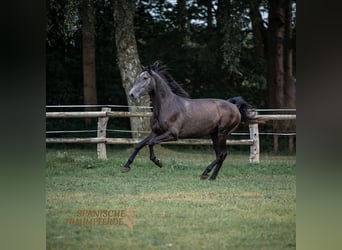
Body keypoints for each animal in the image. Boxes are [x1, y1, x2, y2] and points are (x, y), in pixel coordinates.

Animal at [121, 61, 254, 181]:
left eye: (145, 78)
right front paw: (126, 167)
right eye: (137, 78)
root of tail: (234, 106)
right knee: (221, 154)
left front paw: (158, 162)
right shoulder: (155, 132)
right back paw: (212, 177)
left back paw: (205, 173)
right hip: (214, 134)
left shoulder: (172, 134)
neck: (167, 106)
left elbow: (151, 143)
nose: (131, 94)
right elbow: (139, 145)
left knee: (222, 154)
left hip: (222, 133)